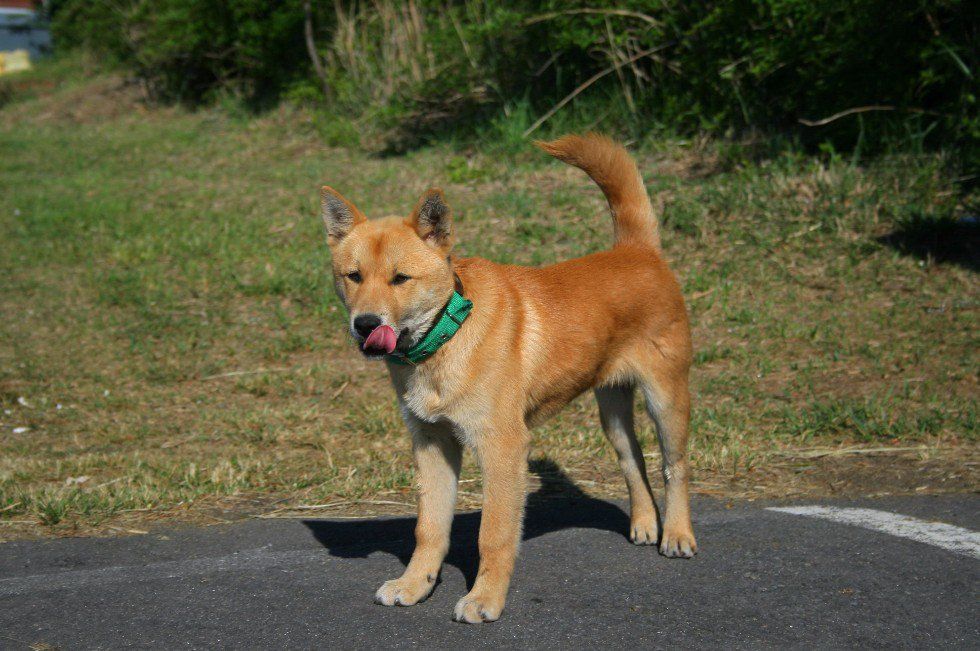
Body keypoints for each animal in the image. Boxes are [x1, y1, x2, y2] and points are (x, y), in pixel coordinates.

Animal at [322, 134, 696, 628]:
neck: (449, 335)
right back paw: (645, 523)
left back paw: (676, 533)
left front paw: (485, 599)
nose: (365, 325)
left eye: (400, 278)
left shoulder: (502, 448)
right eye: (353, 276)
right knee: (632, 460)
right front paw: (415, 584)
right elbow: (429, 529)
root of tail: (638, 251)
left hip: (667, 401)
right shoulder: (433, 444)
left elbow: (493, 535)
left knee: (675, 466)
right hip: (612, 412)